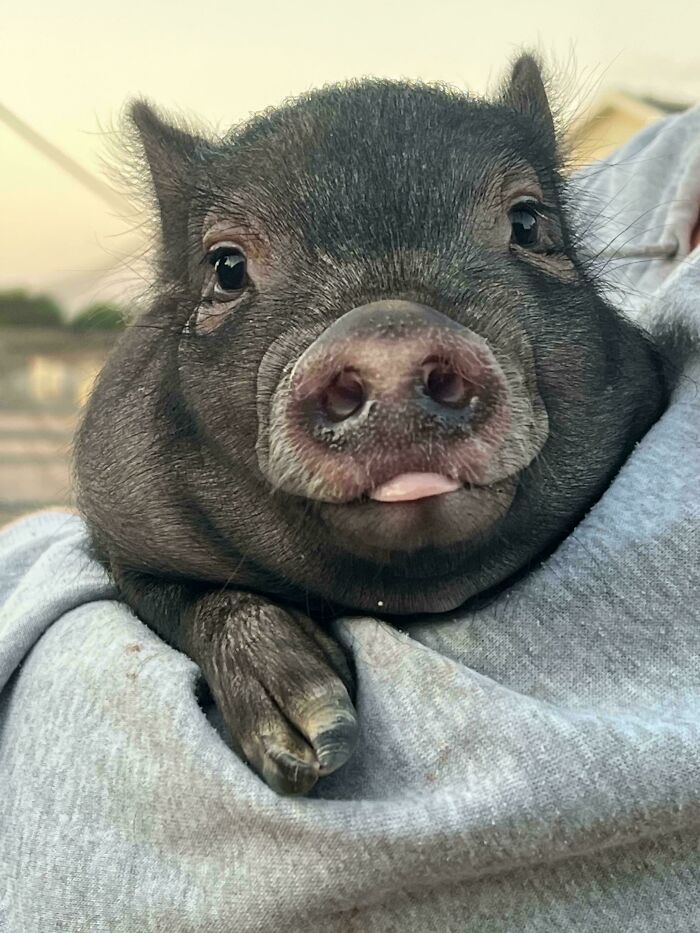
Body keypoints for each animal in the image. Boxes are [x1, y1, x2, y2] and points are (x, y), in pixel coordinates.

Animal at [74, 55, 668, 795]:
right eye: (227, 267)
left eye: (529, 223)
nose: (390, 335)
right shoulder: (120, 524)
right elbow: (176, 596)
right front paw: (313, 739)